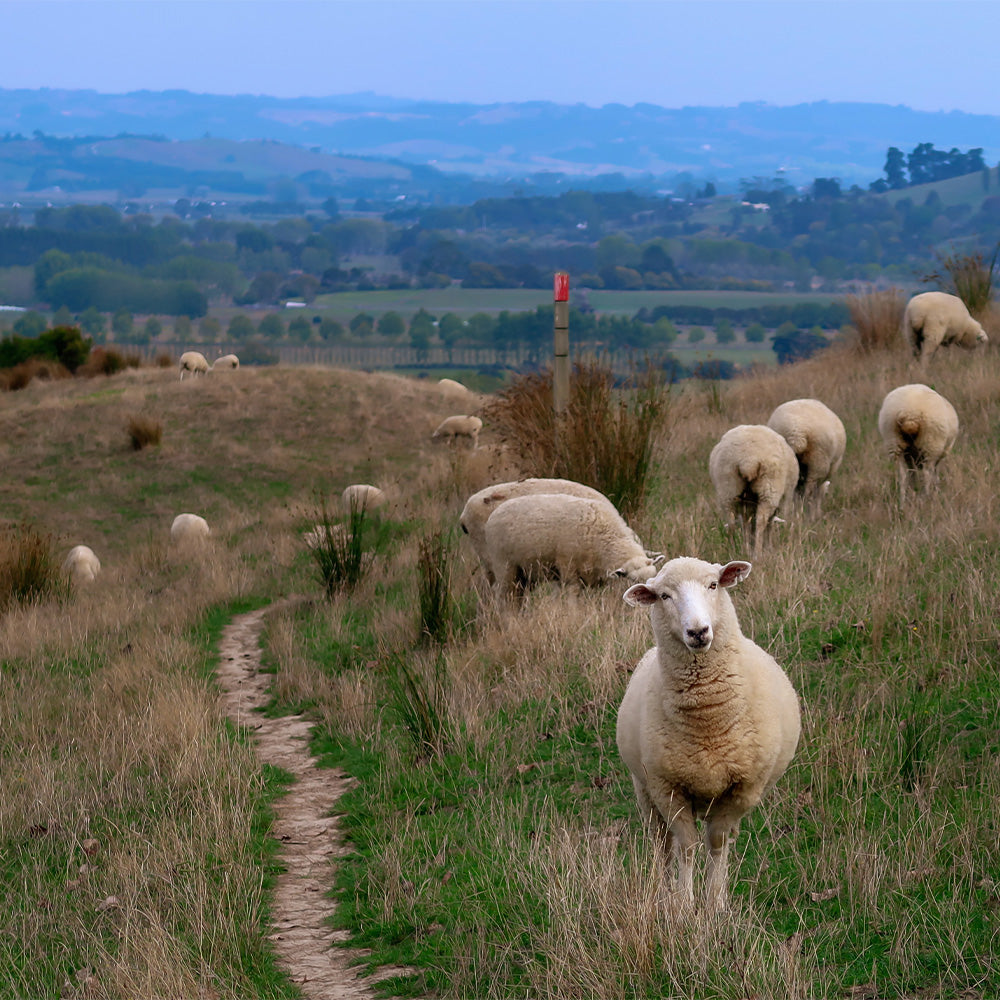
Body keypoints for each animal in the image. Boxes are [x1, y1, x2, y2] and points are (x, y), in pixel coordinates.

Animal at [484, 494, 664, 600]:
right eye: (633, 581)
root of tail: (495, 512)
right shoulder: (567, 568)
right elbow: (573, 596)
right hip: (504, 566)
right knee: (506, 598)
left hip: (525, 573)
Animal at [616, 560, 804, 912]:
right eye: (664, 595)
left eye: (713, 585)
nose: (698, 632)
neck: (708, 719)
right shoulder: (667, 788)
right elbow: (686, 846)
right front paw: (683, 905)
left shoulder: (743, 789)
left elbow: (716, 842)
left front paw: (715, 903)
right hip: (644, 789)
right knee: (661, 843)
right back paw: (662, 891)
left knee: (723, 838)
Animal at [708, 424, 800, 564]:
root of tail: (748, 459)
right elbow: (768, 524)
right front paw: (767, 548)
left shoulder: (746, 503)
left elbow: (747, 524)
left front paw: (748, 547)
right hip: (769, 490)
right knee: (761, 522)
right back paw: (757, 554)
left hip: (728, 487)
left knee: (732, 521)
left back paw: (734, 550)